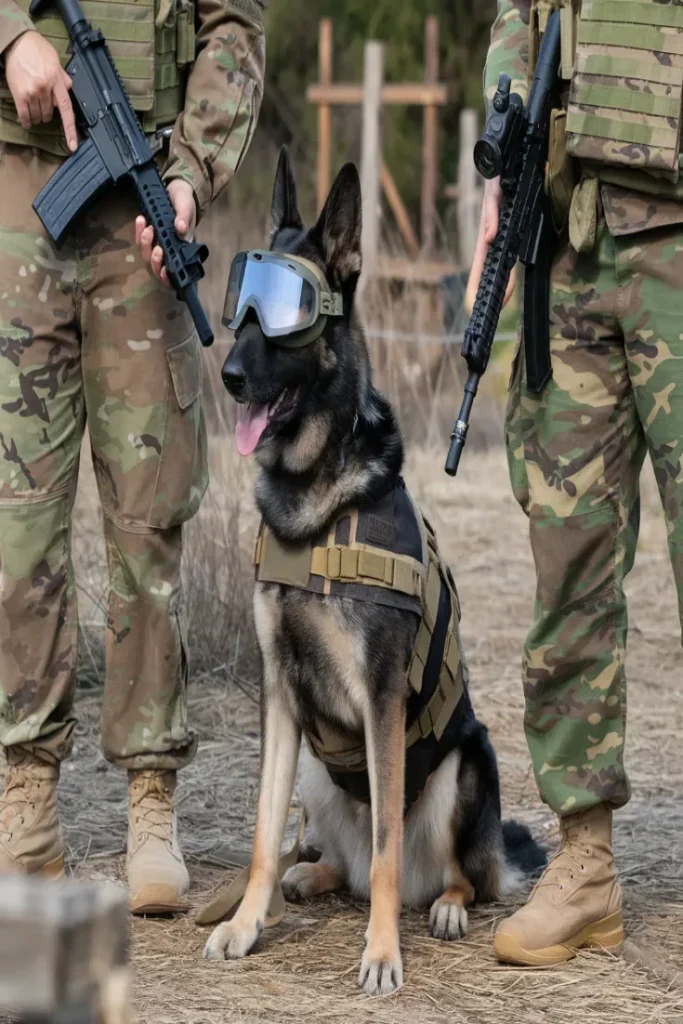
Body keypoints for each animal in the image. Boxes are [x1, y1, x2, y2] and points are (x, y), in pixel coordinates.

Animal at [202, 149, 544, 991]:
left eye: (283, 320)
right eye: (241, 309)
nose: (227, 374)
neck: (314, 503)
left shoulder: (381, 698)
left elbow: (389, 845)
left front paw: (383, 953)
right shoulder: (280, 697)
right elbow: (262, 832)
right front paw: (245, 923)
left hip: (467, 763)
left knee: (448, 871)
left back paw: (445, 905)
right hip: (319, 778)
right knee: (346, 864)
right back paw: (312, 875)